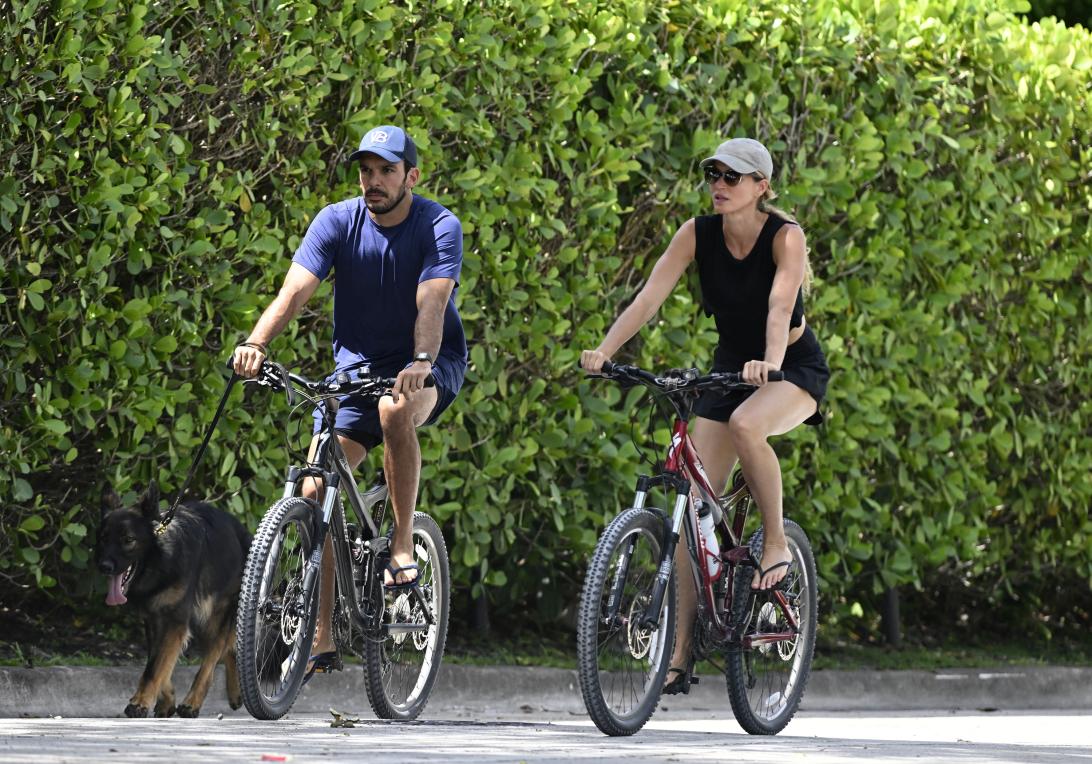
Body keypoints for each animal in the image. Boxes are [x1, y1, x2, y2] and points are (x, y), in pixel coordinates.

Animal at [95, 482, 252, 715]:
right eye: (104, 539)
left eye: (128, 540)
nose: (104, 567)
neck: (161, 561)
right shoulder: (155, 620)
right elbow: (159, 662)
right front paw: (166, 700)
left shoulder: (175, 622)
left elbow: (155, 667)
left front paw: (140, 703)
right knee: (229, 648)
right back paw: (234, 692)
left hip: (218, 616)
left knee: (212, 658)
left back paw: (192, 702)